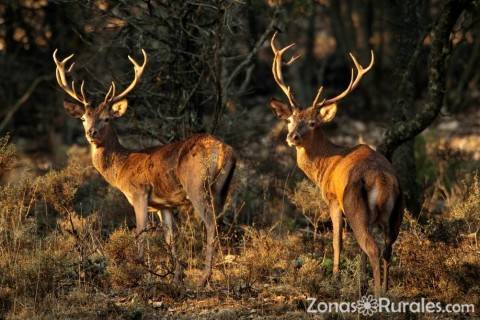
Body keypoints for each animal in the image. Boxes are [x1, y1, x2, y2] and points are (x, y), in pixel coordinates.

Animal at [52, 49, 236, 284]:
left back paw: (204, 277)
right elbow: (169, 238)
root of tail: (225, 150)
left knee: (211, 224)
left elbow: (141, 233)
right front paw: (176, 276)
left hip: (197, 185)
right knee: (220, 222)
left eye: (107, 118)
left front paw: (140, 271)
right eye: (84, 118)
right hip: (222, 188)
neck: (122, 166)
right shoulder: (164, 205)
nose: (91, 132)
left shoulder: (139, 192)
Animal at [268, 33, 404, 298]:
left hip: (355, 206)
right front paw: (359, 281)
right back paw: (384, 289)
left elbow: (337, 240)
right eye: (290, 120)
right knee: (387, 249)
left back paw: (377, 294)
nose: (292, 137)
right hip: (396, 213)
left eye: (312, 123)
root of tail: (383, 179)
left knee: (373, 248)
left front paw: (335, 277)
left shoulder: (332, 199)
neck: (328, 163)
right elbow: (357, 251)